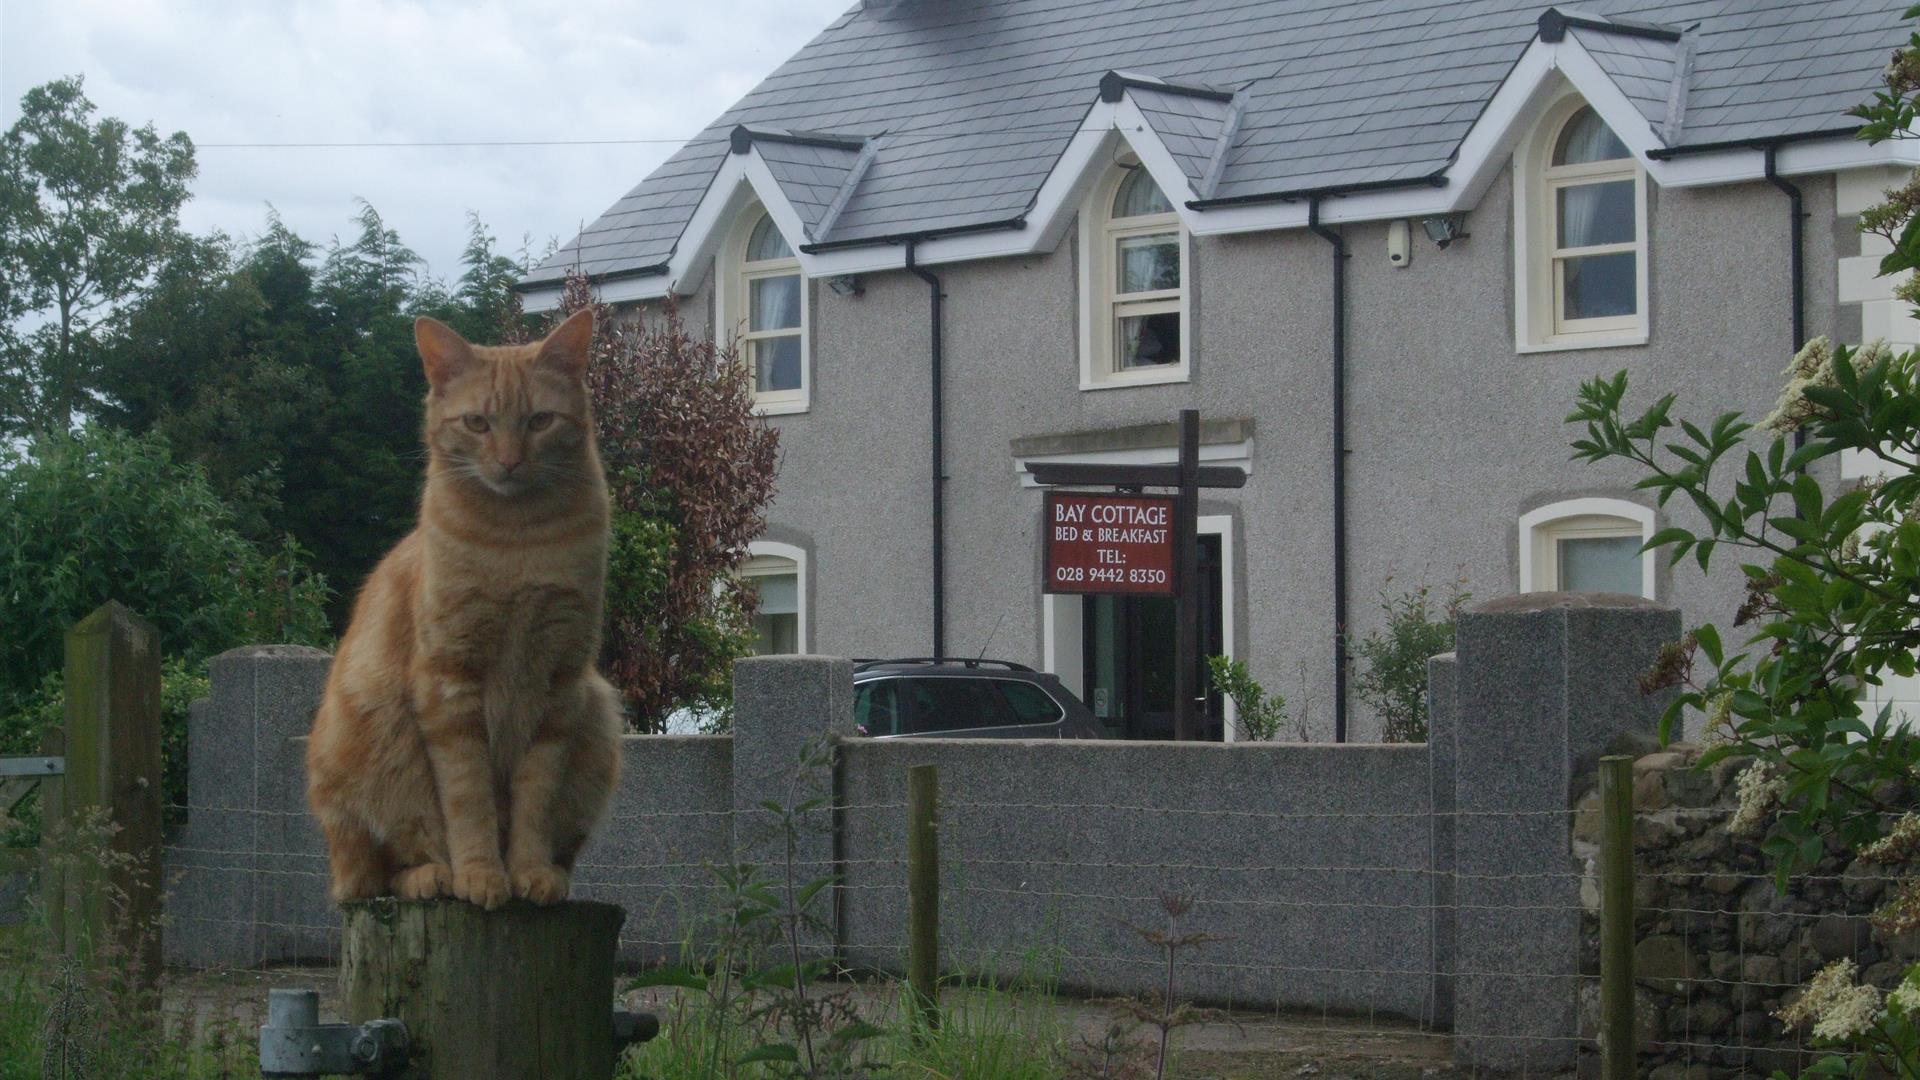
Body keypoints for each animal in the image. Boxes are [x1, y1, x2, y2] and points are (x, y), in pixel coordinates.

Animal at [309, 311, 622, 907]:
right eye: (477, 423)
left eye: (540, 420)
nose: (509, 461)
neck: (517, 540)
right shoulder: (450, 682)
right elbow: (466, 797)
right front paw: (479, 873)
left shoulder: (561, 683)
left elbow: (535, 798)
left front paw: (529, 870)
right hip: (370, 733)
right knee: (377, 873)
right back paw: (433, 876)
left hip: (598, 716)